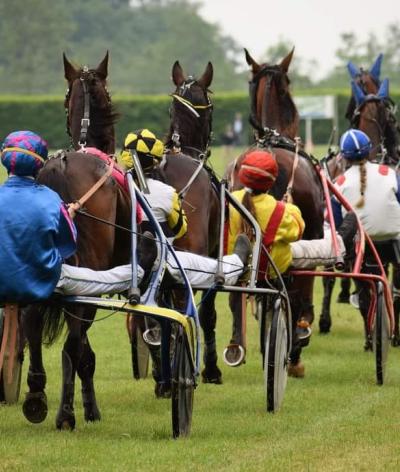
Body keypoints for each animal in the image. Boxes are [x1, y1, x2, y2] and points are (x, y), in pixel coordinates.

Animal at [21, 52, 131, 432]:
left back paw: (36, 392)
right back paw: (65, 411)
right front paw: (86, 406)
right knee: (72, 341)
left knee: (32, 319)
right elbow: (82, 349)